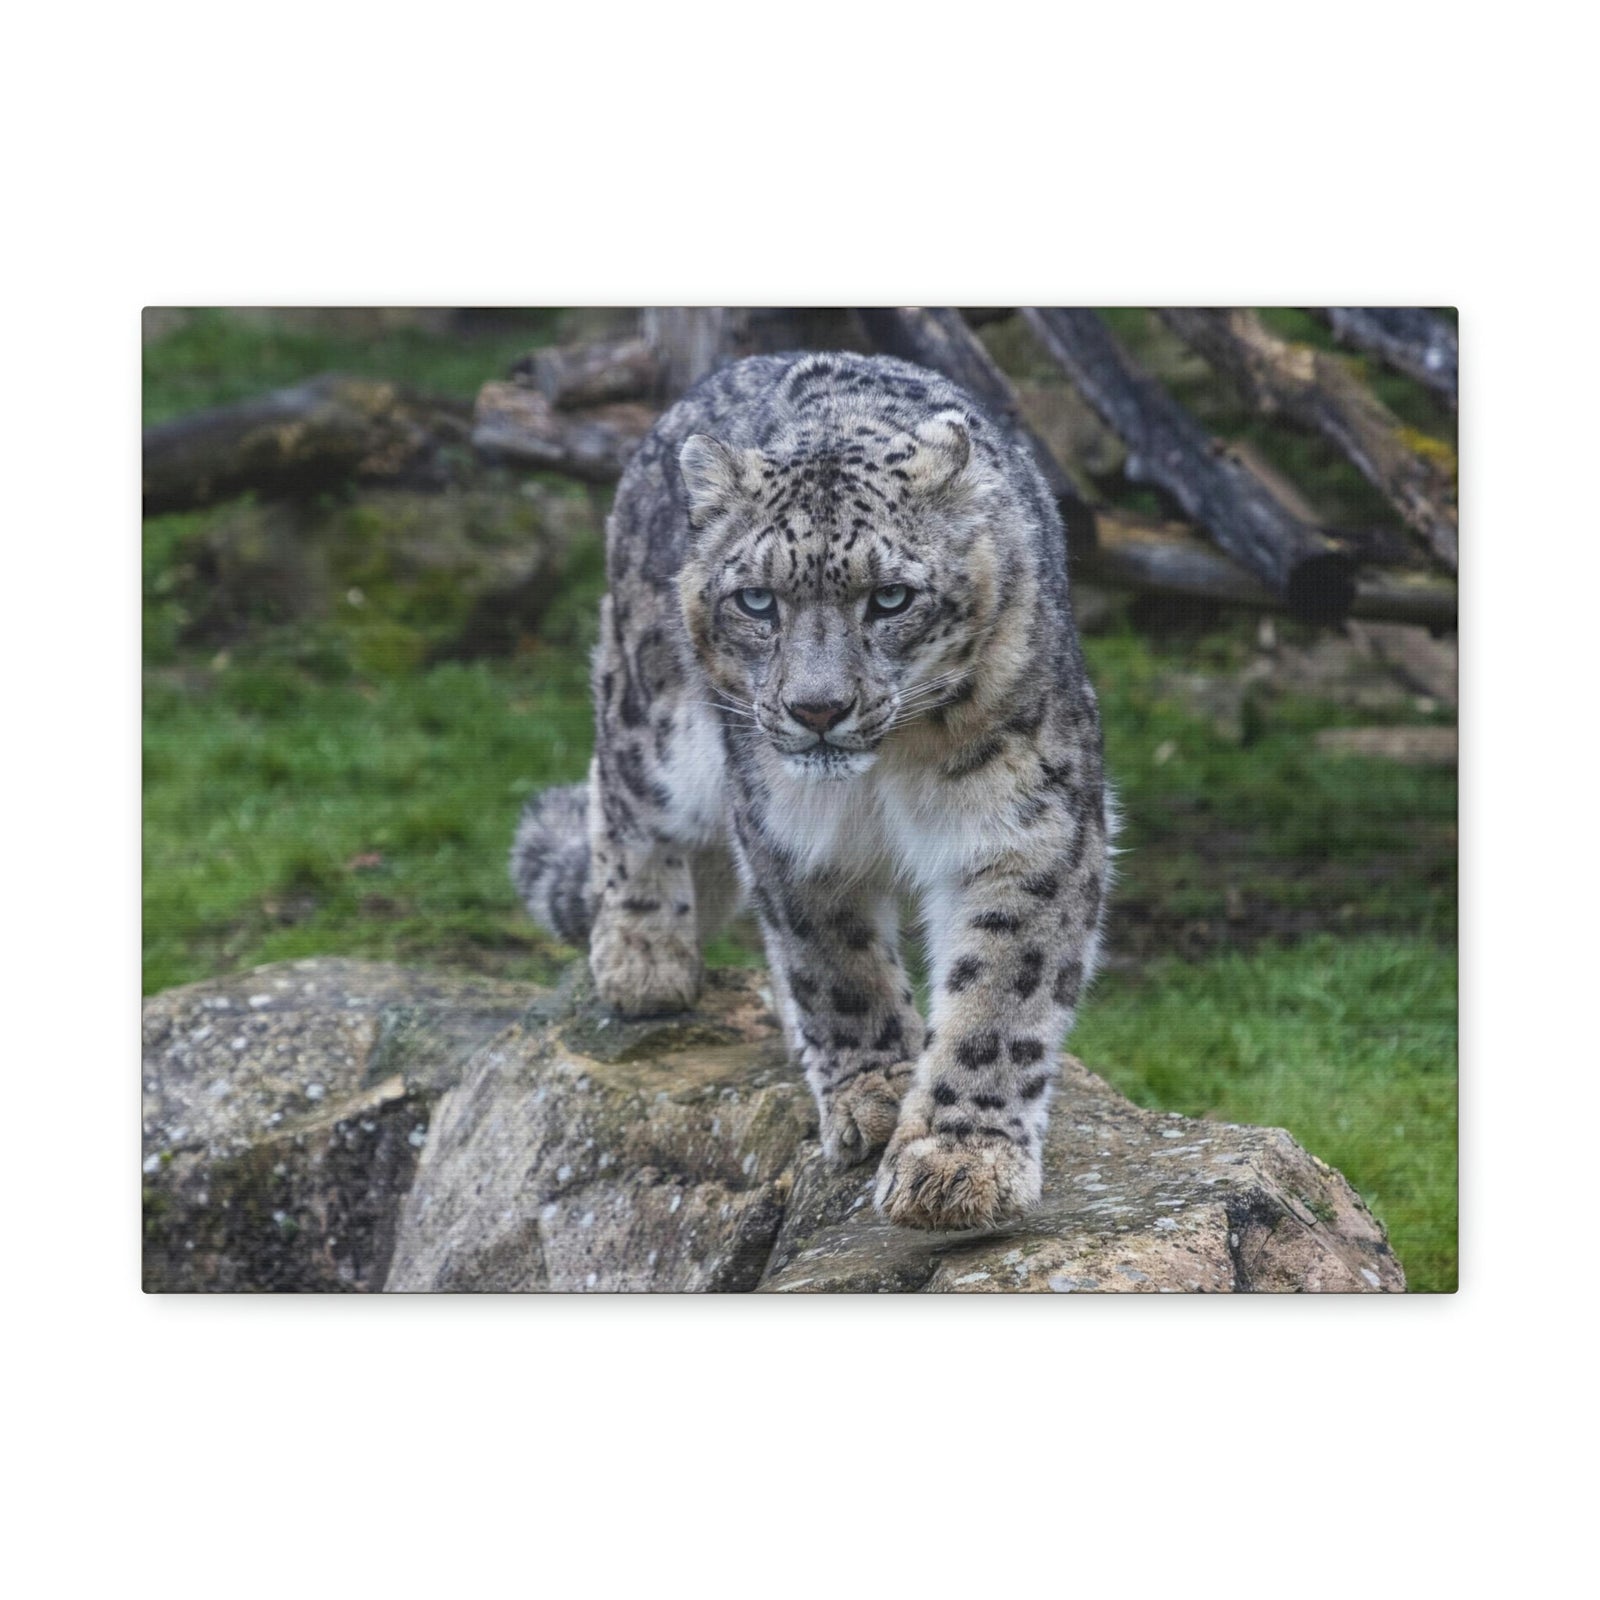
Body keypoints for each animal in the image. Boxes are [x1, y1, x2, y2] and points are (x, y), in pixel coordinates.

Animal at [512, 349, 1112, 1231]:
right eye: (757, 599)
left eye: (890, 597)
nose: (817, 708)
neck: (886, 775)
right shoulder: (788, 831)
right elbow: (834, 965)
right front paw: (878, 1093)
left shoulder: (1027, 827)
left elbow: (1001, 994)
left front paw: (958, 1160)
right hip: (656, 725)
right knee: (617, 786)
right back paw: (642, 956)